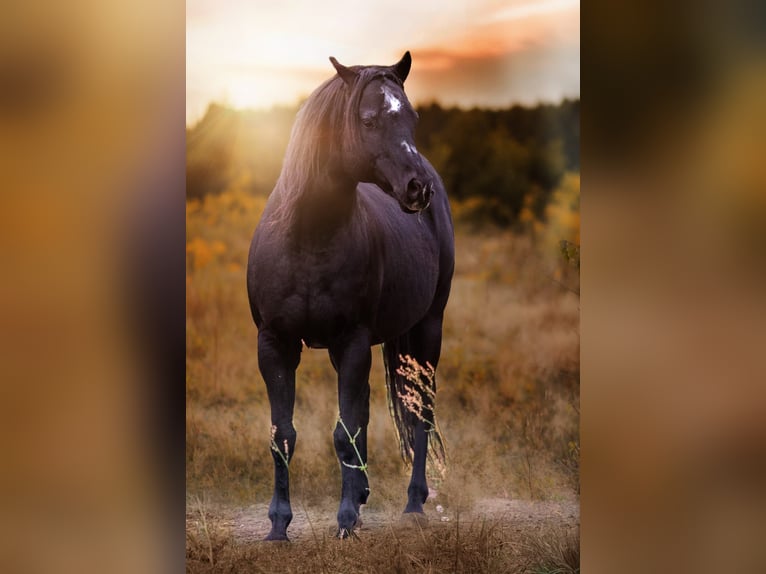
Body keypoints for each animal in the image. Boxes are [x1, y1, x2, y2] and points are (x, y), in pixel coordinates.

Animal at [246, 51, 454, 540]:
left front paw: (344, 523)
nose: (418, 188)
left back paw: (412, 504)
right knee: (367, 412)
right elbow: (283, 434)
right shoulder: (275, 344)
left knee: (420, 412)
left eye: (412, 118)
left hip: (427, 329)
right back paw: (362, 497)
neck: (307, 236)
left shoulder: (353, 341)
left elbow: (345, 433)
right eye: (369, 119)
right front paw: (278, 526)